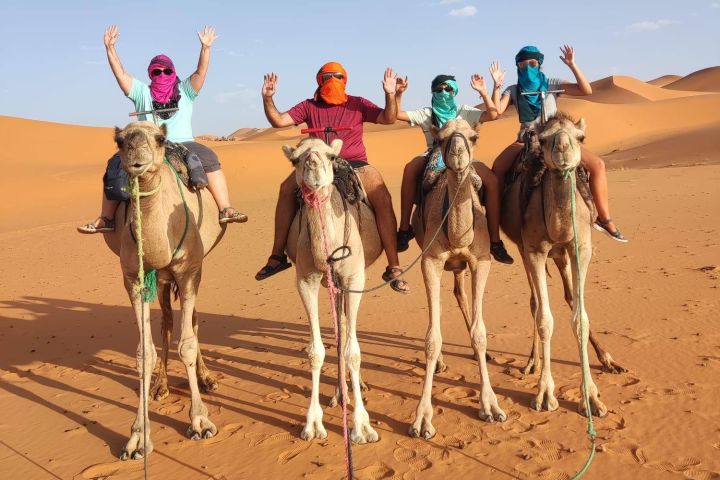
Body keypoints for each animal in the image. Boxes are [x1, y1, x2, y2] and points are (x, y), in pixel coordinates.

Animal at [104, 122, 225, 460]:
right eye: (120, 141)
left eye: (158, 139)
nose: (137, 156)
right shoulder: (133, 278)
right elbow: (144, 353)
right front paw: (137, 438)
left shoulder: (189, 270)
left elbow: (188, 342)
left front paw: (200, 422)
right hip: (161, 280)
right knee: (168, 321)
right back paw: (161, 385)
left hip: (194, 268)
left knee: (192, 320)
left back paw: (206, 378)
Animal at [282, 137, 382, 444]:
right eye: (296, 159)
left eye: (330, 155)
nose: (313, 166)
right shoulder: (306, 280)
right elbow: (316, 351)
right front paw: (313, 424)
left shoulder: (354, 279)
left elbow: (353, 352)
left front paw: (361, 427)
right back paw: (340, 393)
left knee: (347, 332)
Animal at [410, 119, 506, 438]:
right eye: (440, 138)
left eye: (474, 137)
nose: (457, 153)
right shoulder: (430, 261)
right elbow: (432, 338)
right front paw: (422, 419)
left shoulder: (481, 261)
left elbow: (480, 333)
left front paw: (491, 406)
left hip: (462, 266)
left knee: (460, 293)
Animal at [500, 112, 608, 416]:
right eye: (544, 138)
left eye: (581, 137)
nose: (562, 149)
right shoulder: (535, 250)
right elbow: (545, 319)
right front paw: (545, 393)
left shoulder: (581, 248)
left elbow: (580, 318)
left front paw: (591, 396)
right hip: (524, 249)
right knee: (535, 303)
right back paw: (531, 363)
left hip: (561, 256)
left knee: (570, 297)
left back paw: (607, 359)